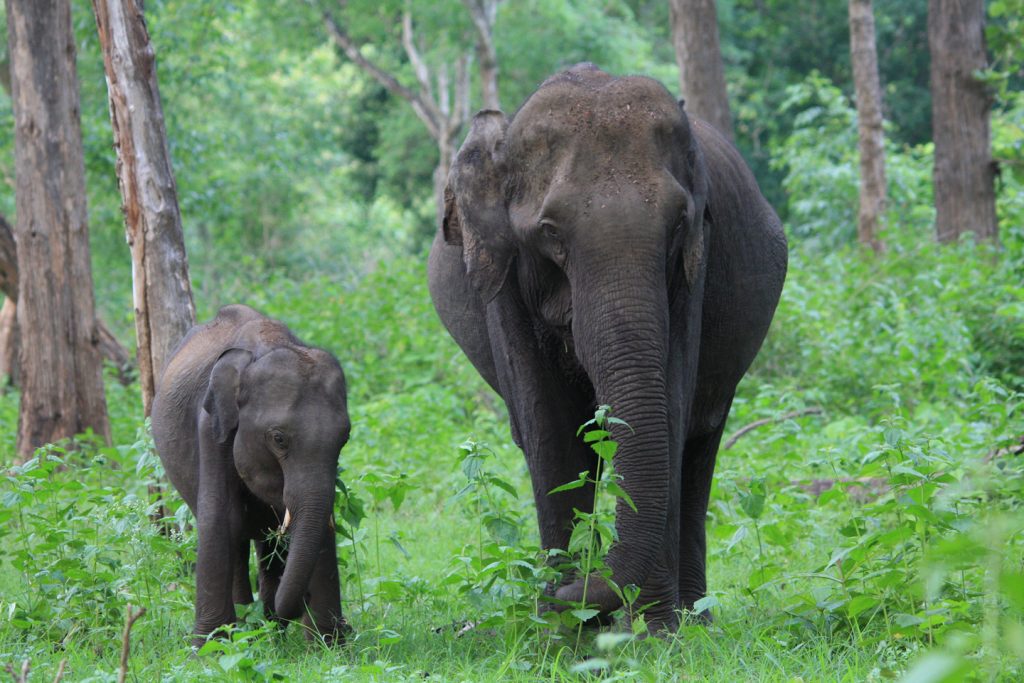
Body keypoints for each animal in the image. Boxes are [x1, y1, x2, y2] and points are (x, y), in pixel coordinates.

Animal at [428, 63, 786, 630]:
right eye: (550, 232)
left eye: (679, 224)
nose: (567, 588)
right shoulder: (502, 278)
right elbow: (550, 430)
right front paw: (562, 627)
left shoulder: (695, 268)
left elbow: (669, 409)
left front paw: (654, 632)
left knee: (698, 445)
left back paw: (695, 620)